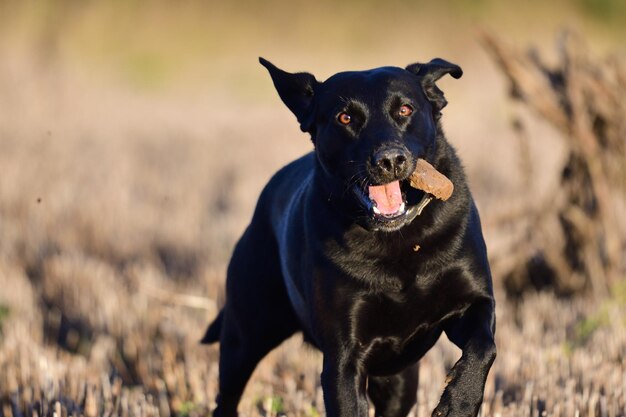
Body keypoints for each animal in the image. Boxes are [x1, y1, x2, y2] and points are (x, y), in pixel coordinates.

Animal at [202, 57, 494, 416]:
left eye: (405, 109)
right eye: (345, 118)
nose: (389, 160)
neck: (399, 242)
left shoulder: (474, 302)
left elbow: (484, 347)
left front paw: (460, 402)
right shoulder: (344, 358)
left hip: (399, 381)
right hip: (245, 336)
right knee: (227, 395)